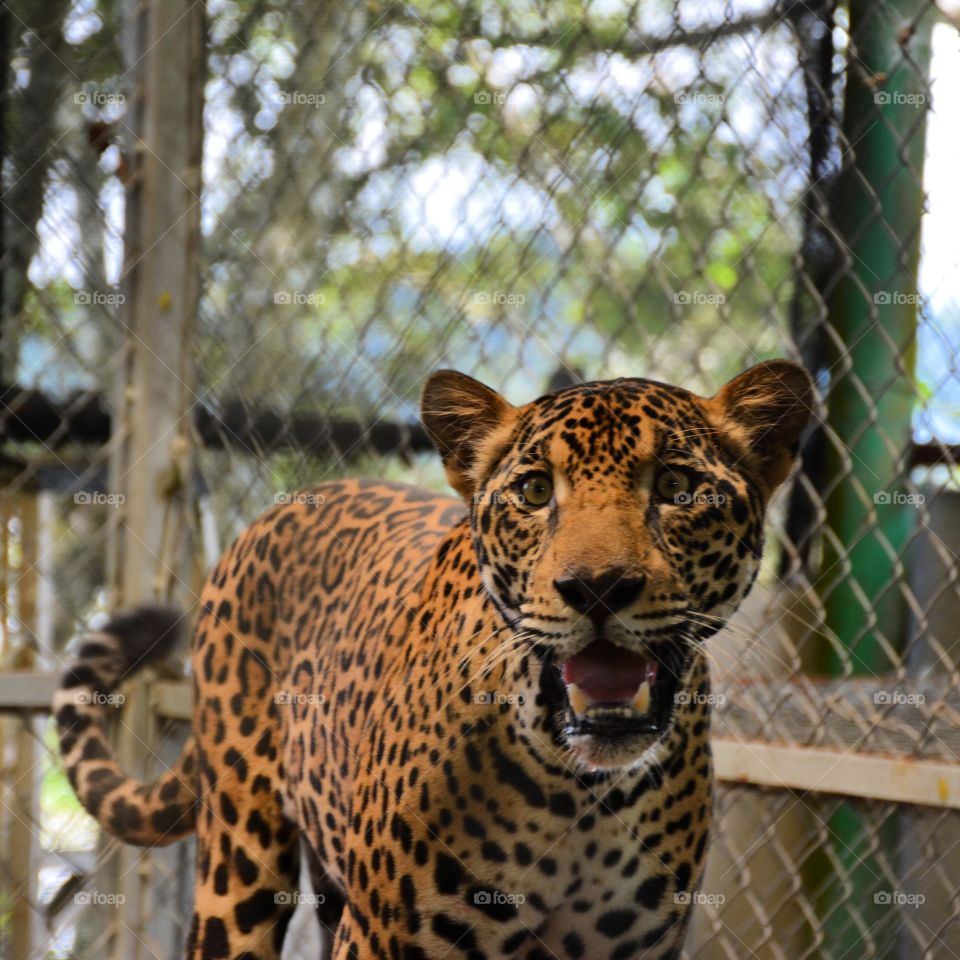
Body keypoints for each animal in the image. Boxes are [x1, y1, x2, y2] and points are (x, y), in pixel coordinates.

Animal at [55, 359, 812, 960]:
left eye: (678, 487)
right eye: (535, 491)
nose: (597, 587)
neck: (581, 795)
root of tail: (271, 517)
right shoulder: (383, 938)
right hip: (239, 864)